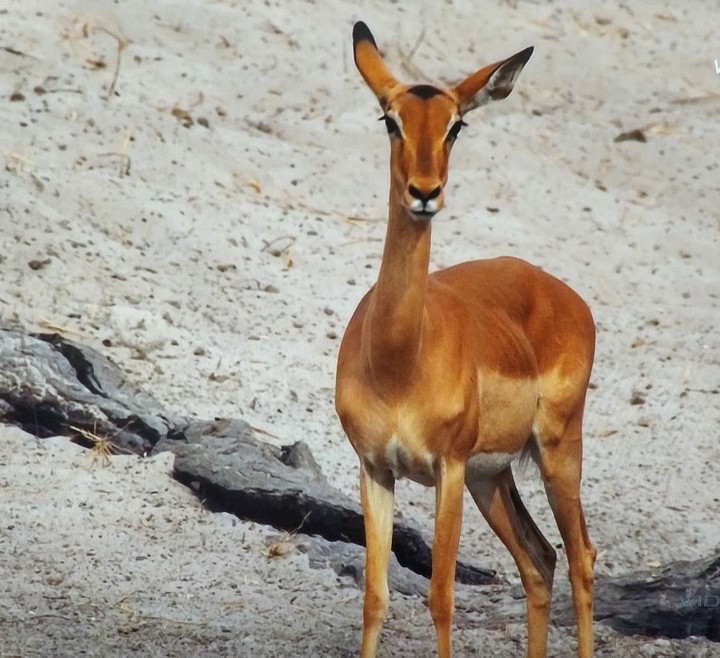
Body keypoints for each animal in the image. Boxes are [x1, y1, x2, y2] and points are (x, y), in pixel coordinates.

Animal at [335, 21, 596, 658]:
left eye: (456, 125)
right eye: (390, 120)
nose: (424, 192)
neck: (398, 364)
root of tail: (564, 294)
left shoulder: (447, 469)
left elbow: (441, 598)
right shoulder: (375, 469)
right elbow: (375, 598)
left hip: (556, 453)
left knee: (581, 558)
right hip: (493, 478)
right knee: (540, 560)